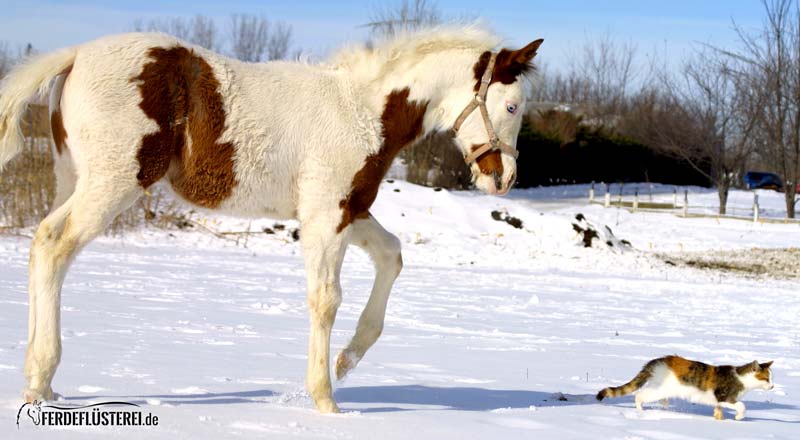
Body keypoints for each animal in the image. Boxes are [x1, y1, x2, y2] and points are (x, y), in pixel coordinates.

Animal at [0, 27, 544, 412]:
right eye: (511, 105)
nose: (504, 178)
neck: (362, 109)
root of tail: (74, 53)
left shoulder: (348, 209)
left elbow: (392, 257)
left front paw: (347, 361)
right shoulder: (326, 213)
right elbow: (325, 299)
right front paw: (325, 400)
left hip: (72, 178)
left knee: (43, 247)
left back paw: (40, 384)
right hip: (113, 183)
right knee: (54, 245)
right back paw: (40, 380)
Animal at [596, 354, 772, 420]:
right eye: (767, 378)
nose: (772, 386)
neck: (741, 378)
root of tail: (657, 360)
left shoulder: (719, 402)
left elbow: (718, 411)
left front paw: (719, 420)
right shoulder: (724, 396)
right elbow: (741, 405)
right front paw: (738, 417)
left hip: (659, 387)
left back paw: (664, 406)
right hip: (661, 388)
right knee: (639, 395)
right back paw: (641, 411)